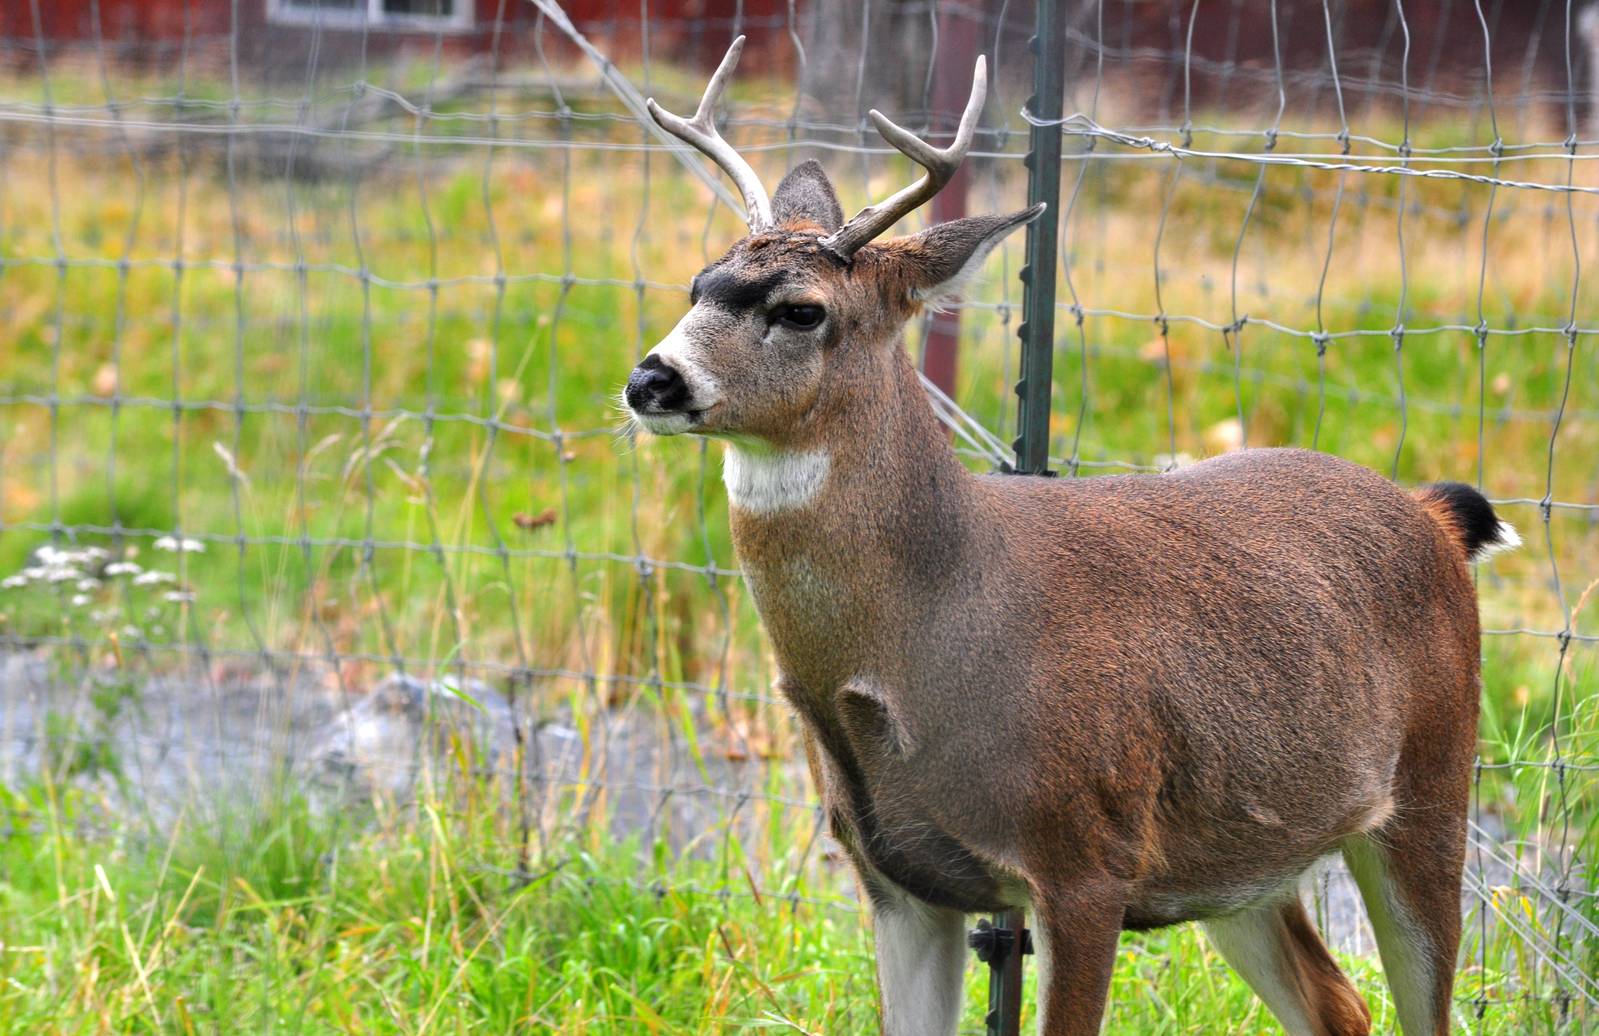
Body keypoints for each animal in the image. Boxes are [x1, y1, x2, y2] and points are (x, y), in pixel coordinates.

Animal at [622, 37, 1518, 1036]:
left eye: (801, 309)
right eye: (698, 283)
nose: (650, 379)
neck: (936, 628)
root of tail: (1432, 514)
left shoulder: (1085, 859)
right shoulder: (893, 876)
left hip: (1434, 784)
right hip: (1244, 861)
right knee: (1337, 1004)